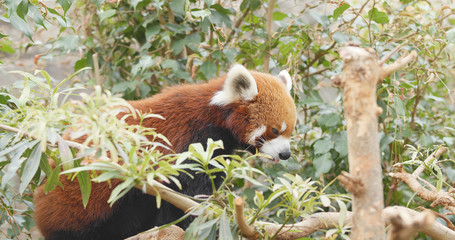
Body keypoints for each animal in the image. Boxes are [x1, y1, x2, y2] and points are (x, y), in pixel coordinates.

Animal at [33, 64, 296, 240]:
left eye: (289, 131)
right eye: (274, 130)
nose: (286, 154)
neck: (216, 116)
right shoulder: (191, 142)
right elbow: (188, 193)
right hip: (86, 202)